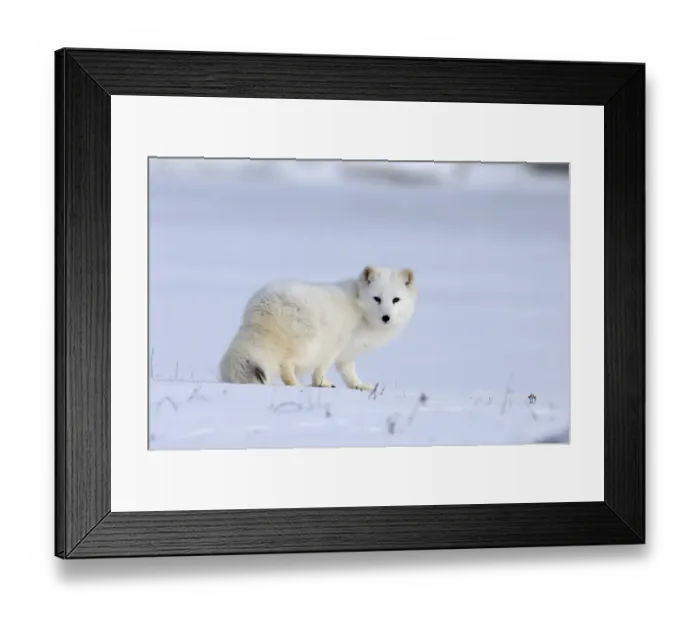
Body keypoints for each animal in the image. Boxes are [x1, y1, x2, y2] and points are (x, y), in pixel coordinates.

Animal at [218, 266, 416, 390]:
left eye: (396, 300)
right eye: (377, 298)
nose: (386, 317)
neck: (360, 310)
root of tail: (265, 304)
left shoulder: (346, 354)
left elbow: (349, 373)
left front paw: (360, 386)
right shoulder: (333, 347)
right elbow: (322, 369)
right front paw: (321, 384)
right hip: (310, 346)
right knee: (286, 365)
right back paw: (296, 385)